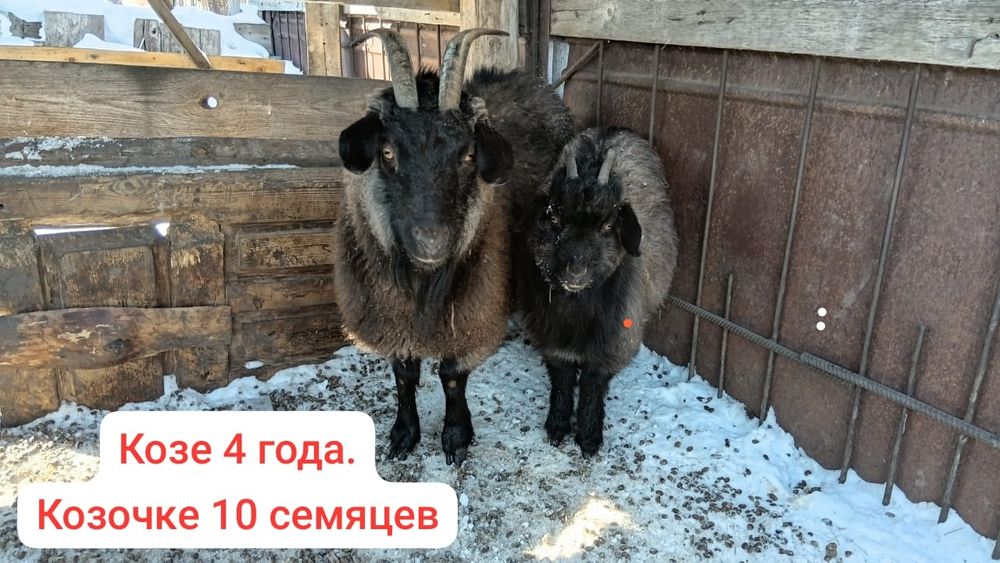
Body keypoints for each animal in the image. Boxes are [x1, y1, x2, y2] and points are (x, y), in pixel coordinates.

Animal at [334, 29, 574, 465]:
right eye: (387, 151)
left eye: (467, 154)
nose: (432, 241)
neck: (423, 281)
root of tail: (527, 77)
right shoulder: (392, 318)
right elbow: (404, 375)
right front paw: (404, 434)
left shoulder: (469, 313)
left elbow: (451, 376)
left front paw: (456, 436)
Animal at [513, 127, 678, 456]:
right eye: (553, 217)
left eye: (607, 225)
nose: (575, 271)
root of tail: (614, 130)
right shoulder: (551, 335)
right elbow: (563, 377)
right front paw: (557, 425)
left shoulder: (615, 339)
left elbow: (592, 381)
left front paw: (589, 436)